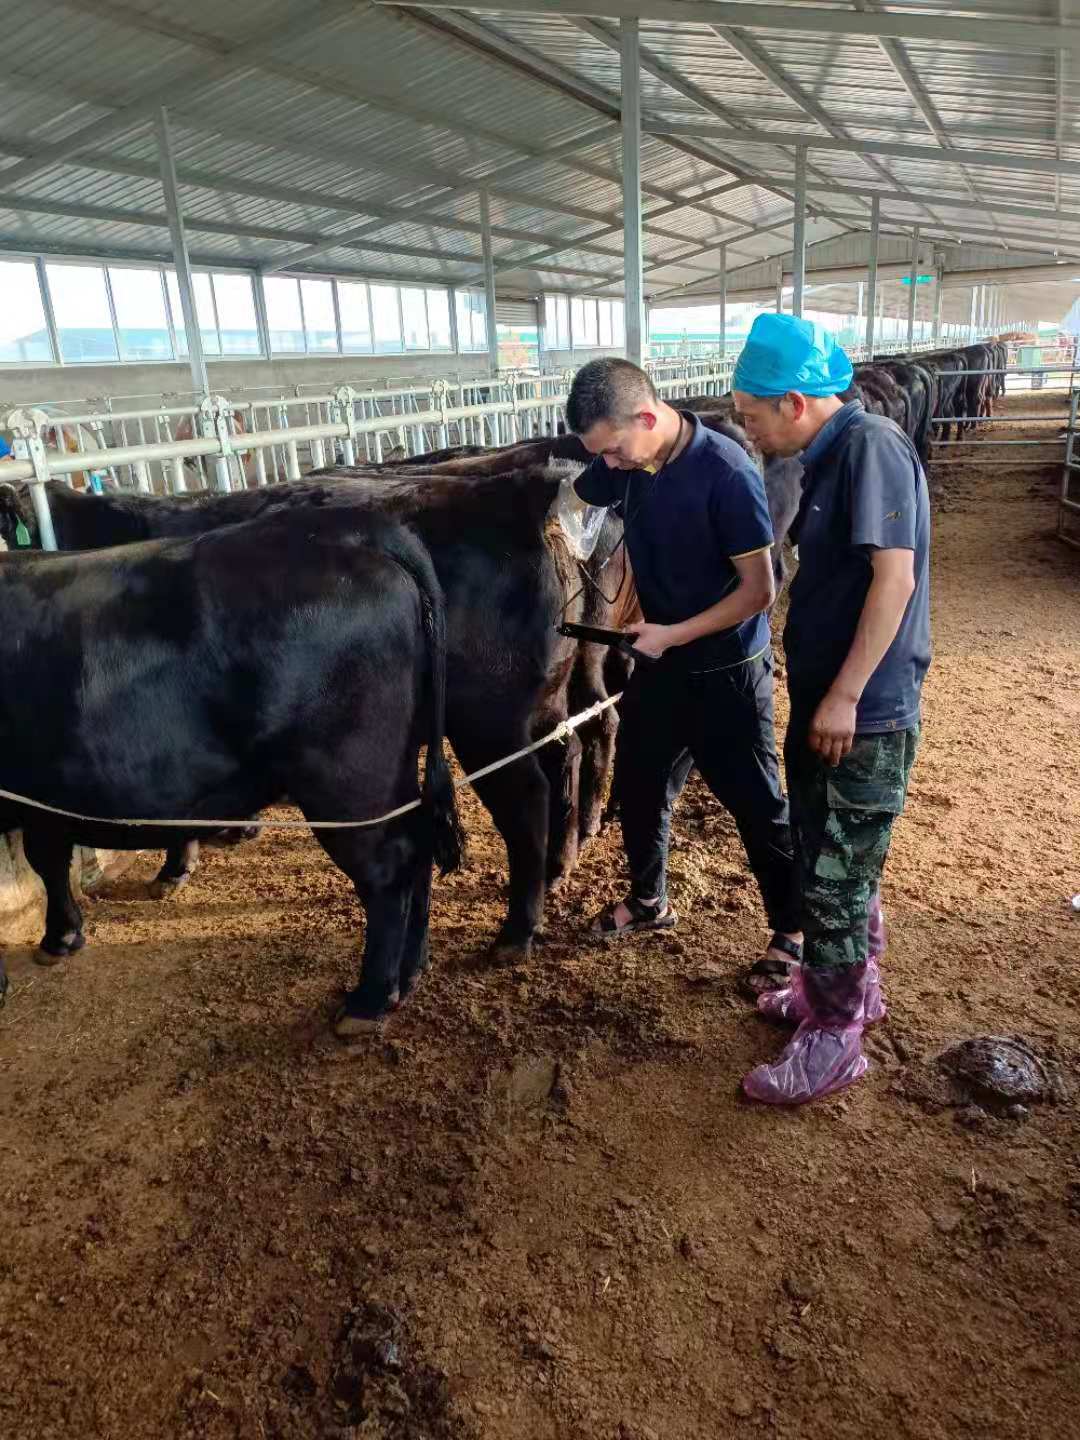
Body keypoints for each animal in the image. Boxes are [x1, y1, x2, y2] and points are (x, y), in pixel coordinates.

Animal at [0, 504, 463, 1035]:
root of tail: (349, 527)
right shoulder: (43, 797)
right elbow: (49, 860)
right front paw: (62, 935)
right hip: (393, 774)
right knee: (419, 847)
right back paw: (410, 972)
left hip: (346, 783)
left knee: (387, 870)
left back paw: (368, 1000)